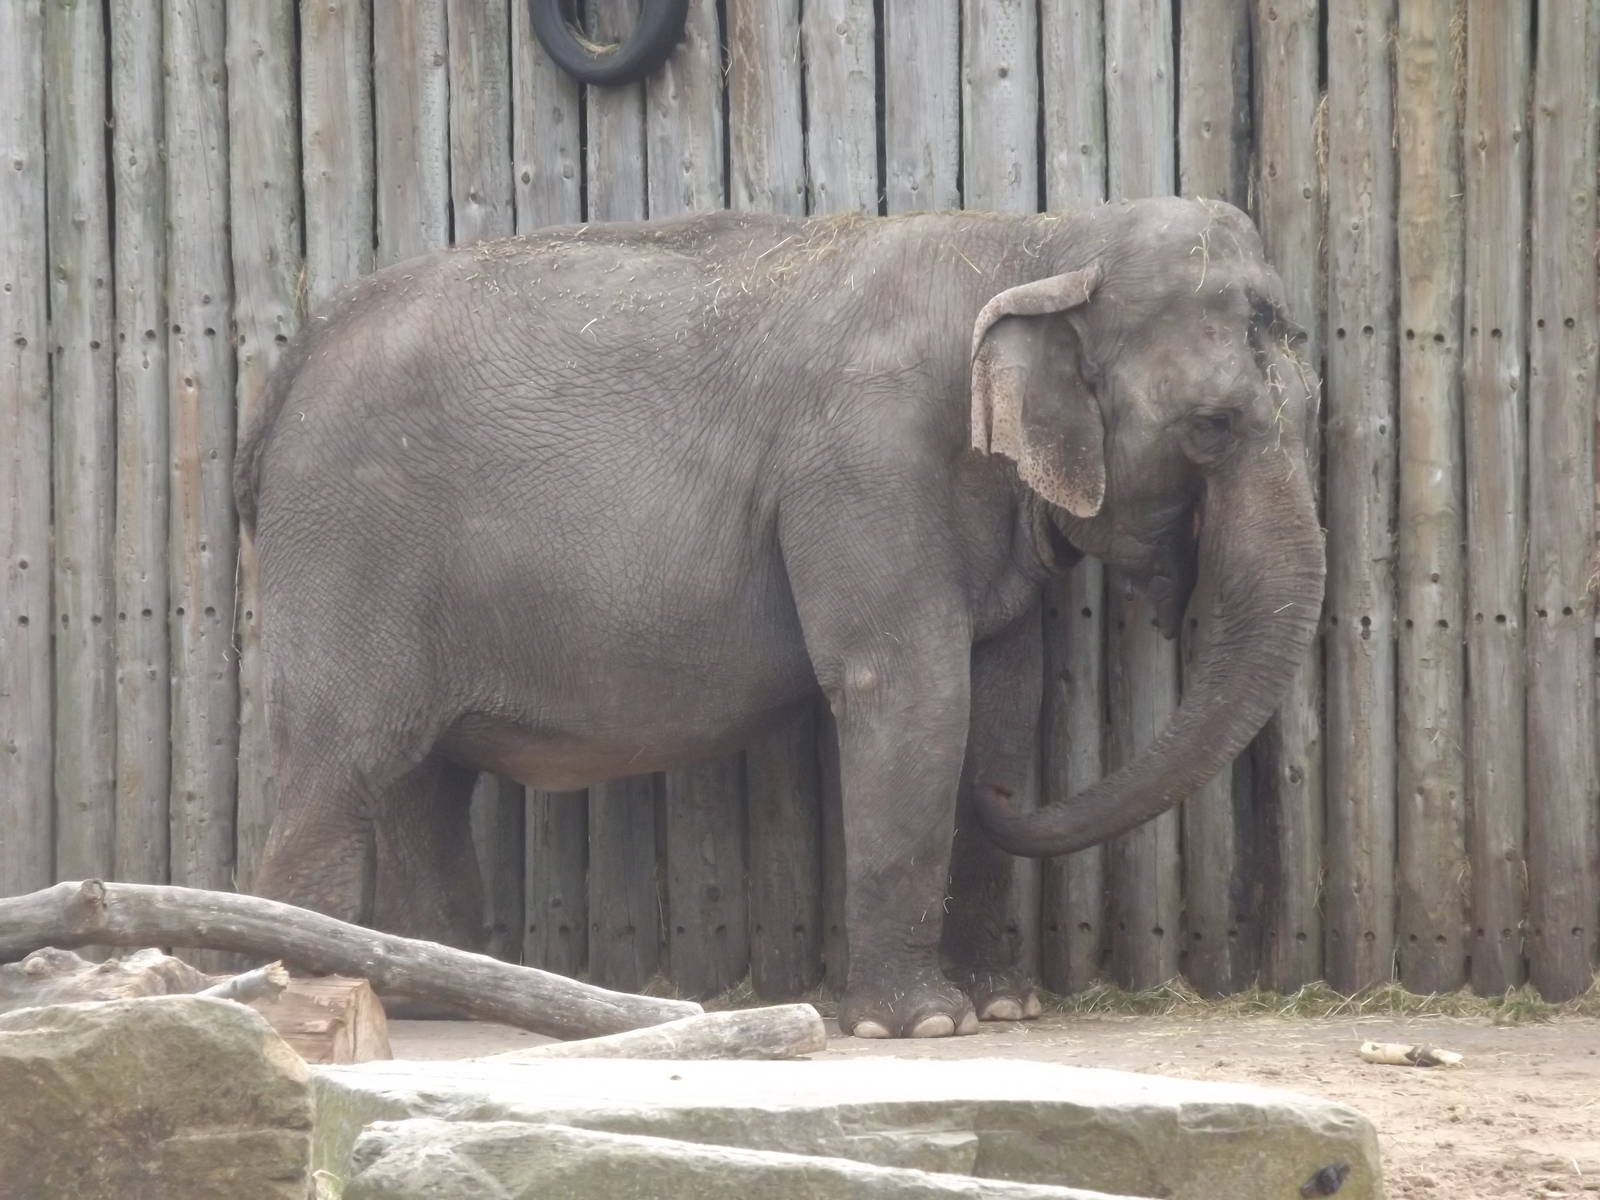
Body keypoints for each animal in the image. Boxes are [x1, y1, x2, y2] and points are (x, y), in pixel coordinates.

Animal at [235, 195, 1324, 1039]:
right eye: (1211, 427)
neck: (1039, 243)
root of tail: (292, 364)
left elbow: (1004, 698)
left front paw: (1001, 1005)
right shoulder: (865, 462)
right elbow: (911, 690)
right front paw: (920, 1025)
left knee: (422, 779)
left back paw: (441, 995)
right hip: (345, 544)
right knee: (344, 761)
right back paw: (303, 989)